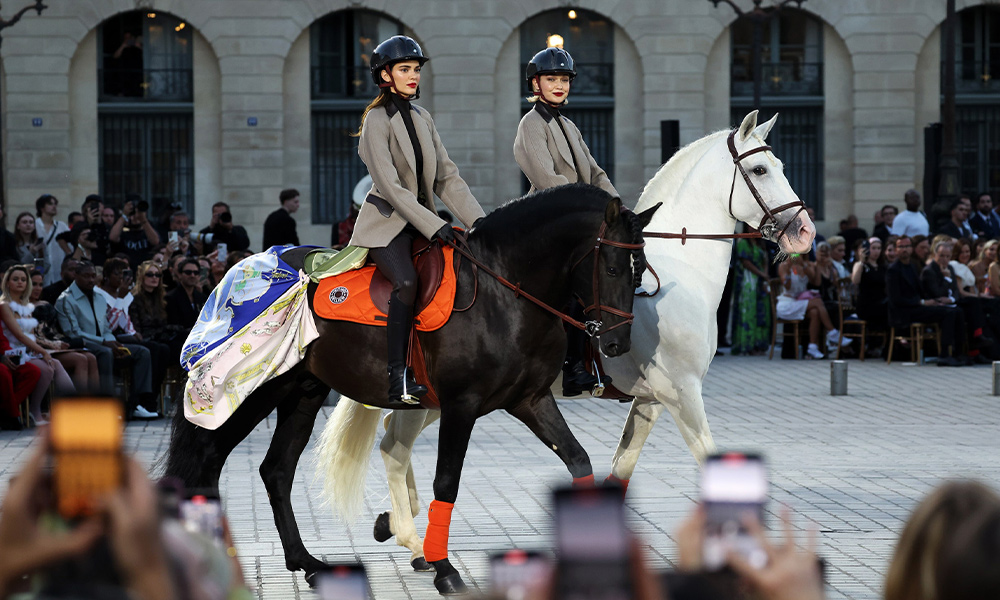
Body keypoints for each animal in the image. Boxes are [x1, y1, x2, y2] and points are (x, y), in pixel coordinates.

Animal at [166, 184, 656, 596]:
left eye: (640, 275)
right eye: (613, 267)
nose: (617, 344)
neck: (504, 293)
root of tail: (242, 269)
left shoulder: (530, 400)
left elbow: (578, 460)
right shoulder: (461, 405)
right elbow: (447, 481)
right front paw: (444, 568)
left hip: (303, 392)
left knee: (277, 471)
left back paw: (308, 563)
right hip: (255, 392)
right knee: (208, 460)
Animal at [316, 113, 816, 572]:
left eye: (780, 164)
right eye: (760, 170)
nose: (804, 232)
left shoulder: (652, 400)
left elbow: (620, 468)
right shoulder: (682, 393)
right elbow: (709, 458)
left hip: (435, 398)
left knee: (392, 442)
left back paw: (402, 532)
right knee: (393, 445)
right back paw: (413, 539)